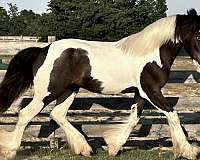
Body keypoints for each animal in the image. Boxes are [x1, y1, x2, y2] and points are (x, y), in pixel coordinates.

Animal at [0, 9, 200, 160]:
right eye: (198, 35)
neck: (151, 54)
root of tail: (44, 49)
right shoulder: (151, 91)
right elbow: (173, 115)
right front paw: (189, 151)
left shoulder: (140, 93)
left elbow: (134, 119)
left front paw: (113, 147)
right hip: (47, 92)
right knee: (26, 114)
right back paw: (10, 151)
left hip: (69, 90)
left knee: (57, 114)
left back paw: (84, 148)